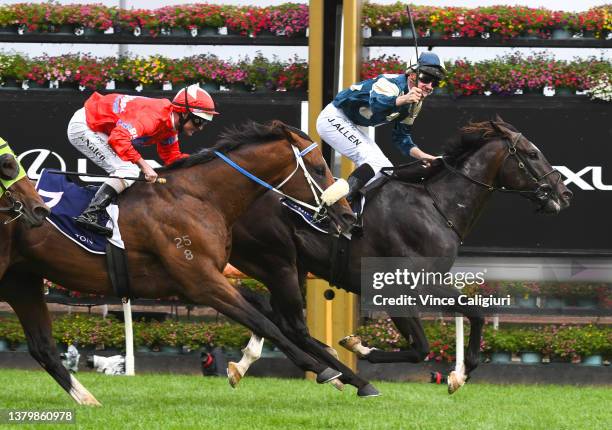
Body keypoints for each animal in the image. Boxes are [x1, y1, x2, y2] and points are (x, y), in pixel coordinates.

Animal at [0, 120, 356, 404]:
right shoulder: (201, 281)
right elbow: (266, 322)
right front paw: (328, 371)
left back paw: (89, 401)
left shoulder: (202, 279)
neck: (199, 197)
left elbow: (266, 315)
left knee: (43, 347)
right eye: (319, 168)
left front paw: (345, 372)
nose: (348, 216)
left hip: (22, 278)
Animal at [226, 116, 572, 392]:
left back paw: (250, 365)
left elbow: (470, 314)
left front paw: (458, 375)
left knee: (272, 314)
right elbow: (428, 343)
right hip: (276, 263)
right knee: (286, 322)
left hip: (287, 267)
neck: (436, 207)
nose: (564, 193)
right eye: (532, 154)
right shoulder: (399, 285)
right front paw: (360, 347)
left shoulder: (431, 282)